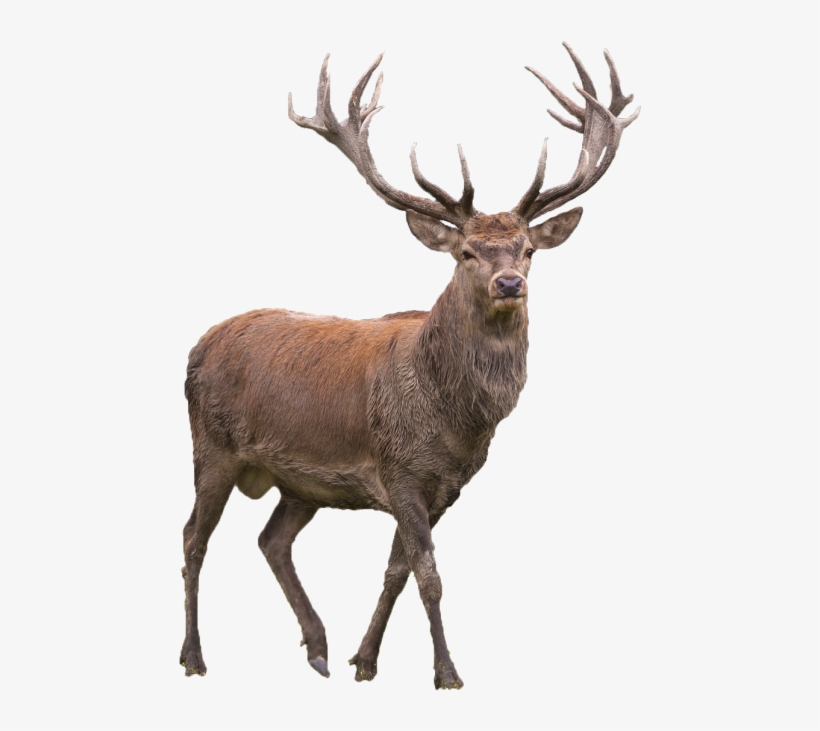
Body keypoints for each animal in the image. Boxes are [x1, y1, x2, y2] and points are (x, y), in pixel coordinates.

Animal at [180, 44, 639, 689]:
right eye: (466, 252)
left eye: (527, 249)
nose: (509, 283)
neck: (454, 420)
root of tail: (197, 346)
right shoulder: (397, 468)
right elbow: (429, 576)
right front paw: (446, 672)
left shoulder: (444, 485)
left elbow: (397, 571)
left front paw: (365, 660)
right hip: (212, 447)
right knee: (193, 538)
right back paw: (194, 656)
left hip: (299, 482)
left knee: (271, 539)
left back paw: (318, 647)